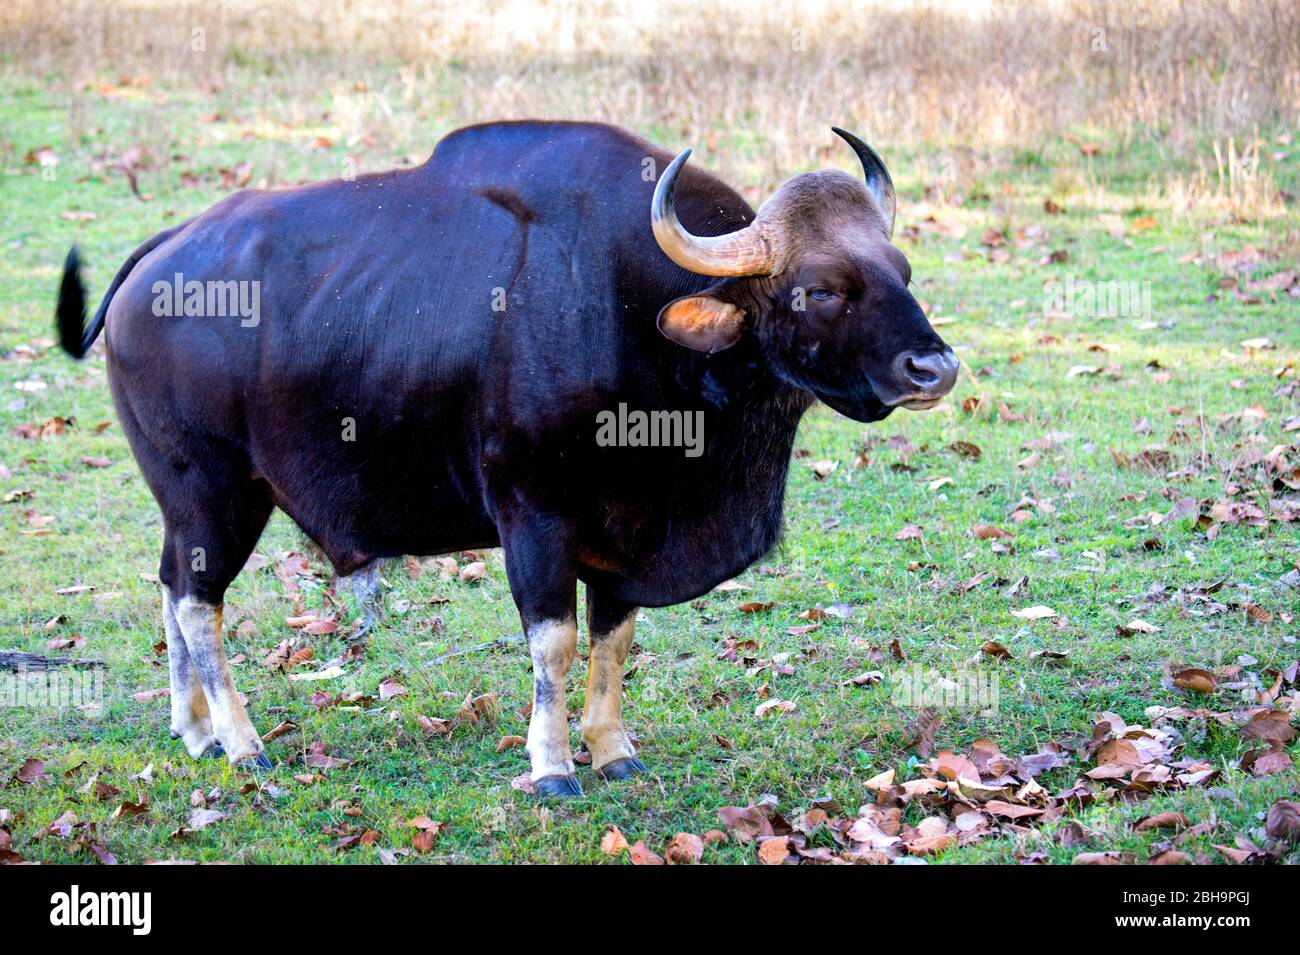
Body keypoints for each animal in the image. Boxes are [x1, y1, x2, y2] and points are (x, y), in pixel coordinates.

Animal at [55, 119, 951, 795]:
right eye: (819, 287)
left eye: (901, 269)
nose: (934, 367)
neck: (628, 311)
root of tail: (158, 258)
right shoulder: (534, 514)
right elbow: (553, 641)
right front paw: (553, 766)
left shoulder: (624, 532)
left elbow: (614, 638)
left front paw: (613, 749)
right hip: (214, 492)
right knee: (198, 604)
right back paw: (242, 742)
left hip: (186, 506)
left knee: (170, 588)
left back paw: (194, 730)